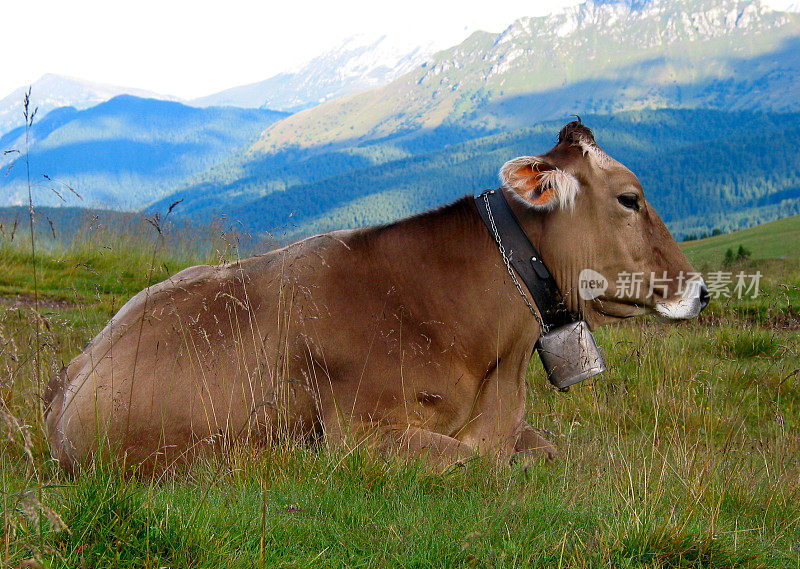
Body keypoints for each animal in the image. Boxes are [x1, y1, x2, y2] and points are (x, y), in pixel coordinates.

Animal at [45, 121, 708, 470]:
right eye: (630, 197)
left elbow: (550, 455)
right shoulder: (359, 433)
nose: (701, 291)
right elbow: (483, 464)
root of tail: (72, 375)